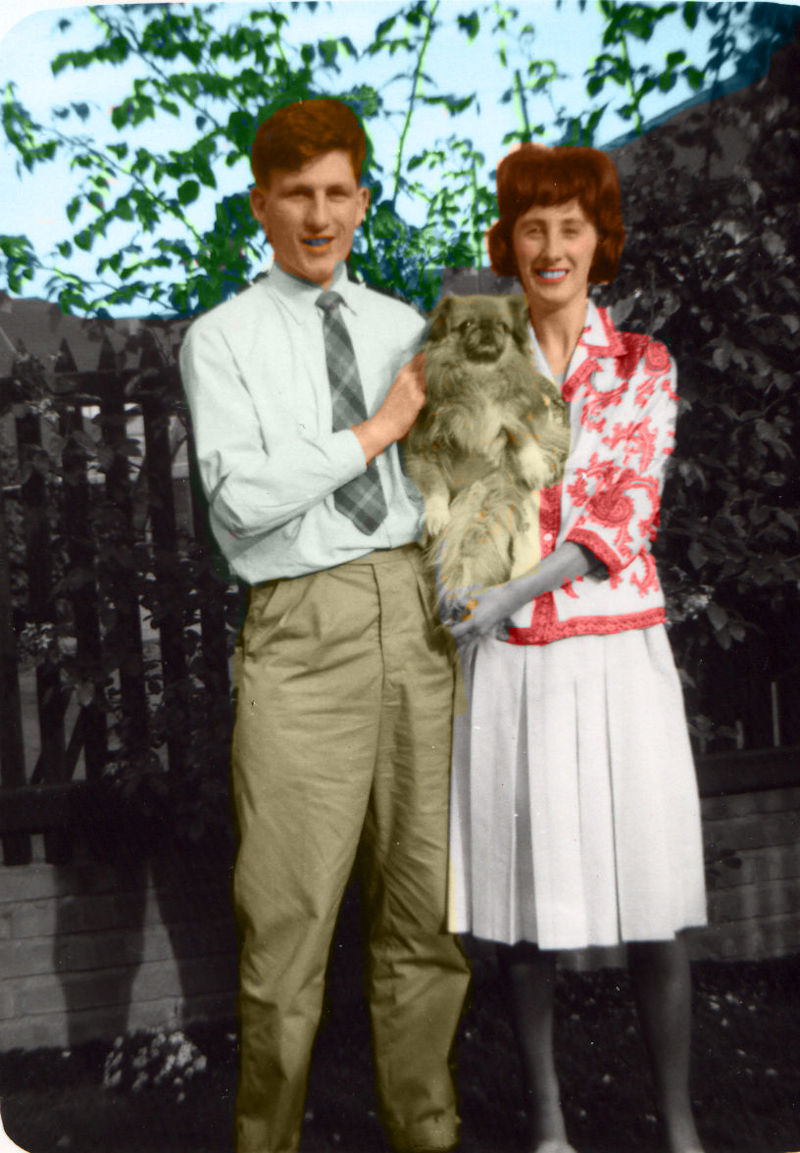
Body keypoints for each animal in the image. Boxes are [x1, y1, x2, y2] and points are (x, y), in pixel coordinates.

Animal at [408, 297, 569, 599]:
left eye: (502, 325)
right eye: (467, 323)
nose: (486, 328)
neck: (480, 380)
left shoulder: (514, 420)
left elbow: (524, 439)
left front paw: (534, 468)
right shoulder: (420, 450)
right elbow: (435, 485)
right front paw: (437, 516)